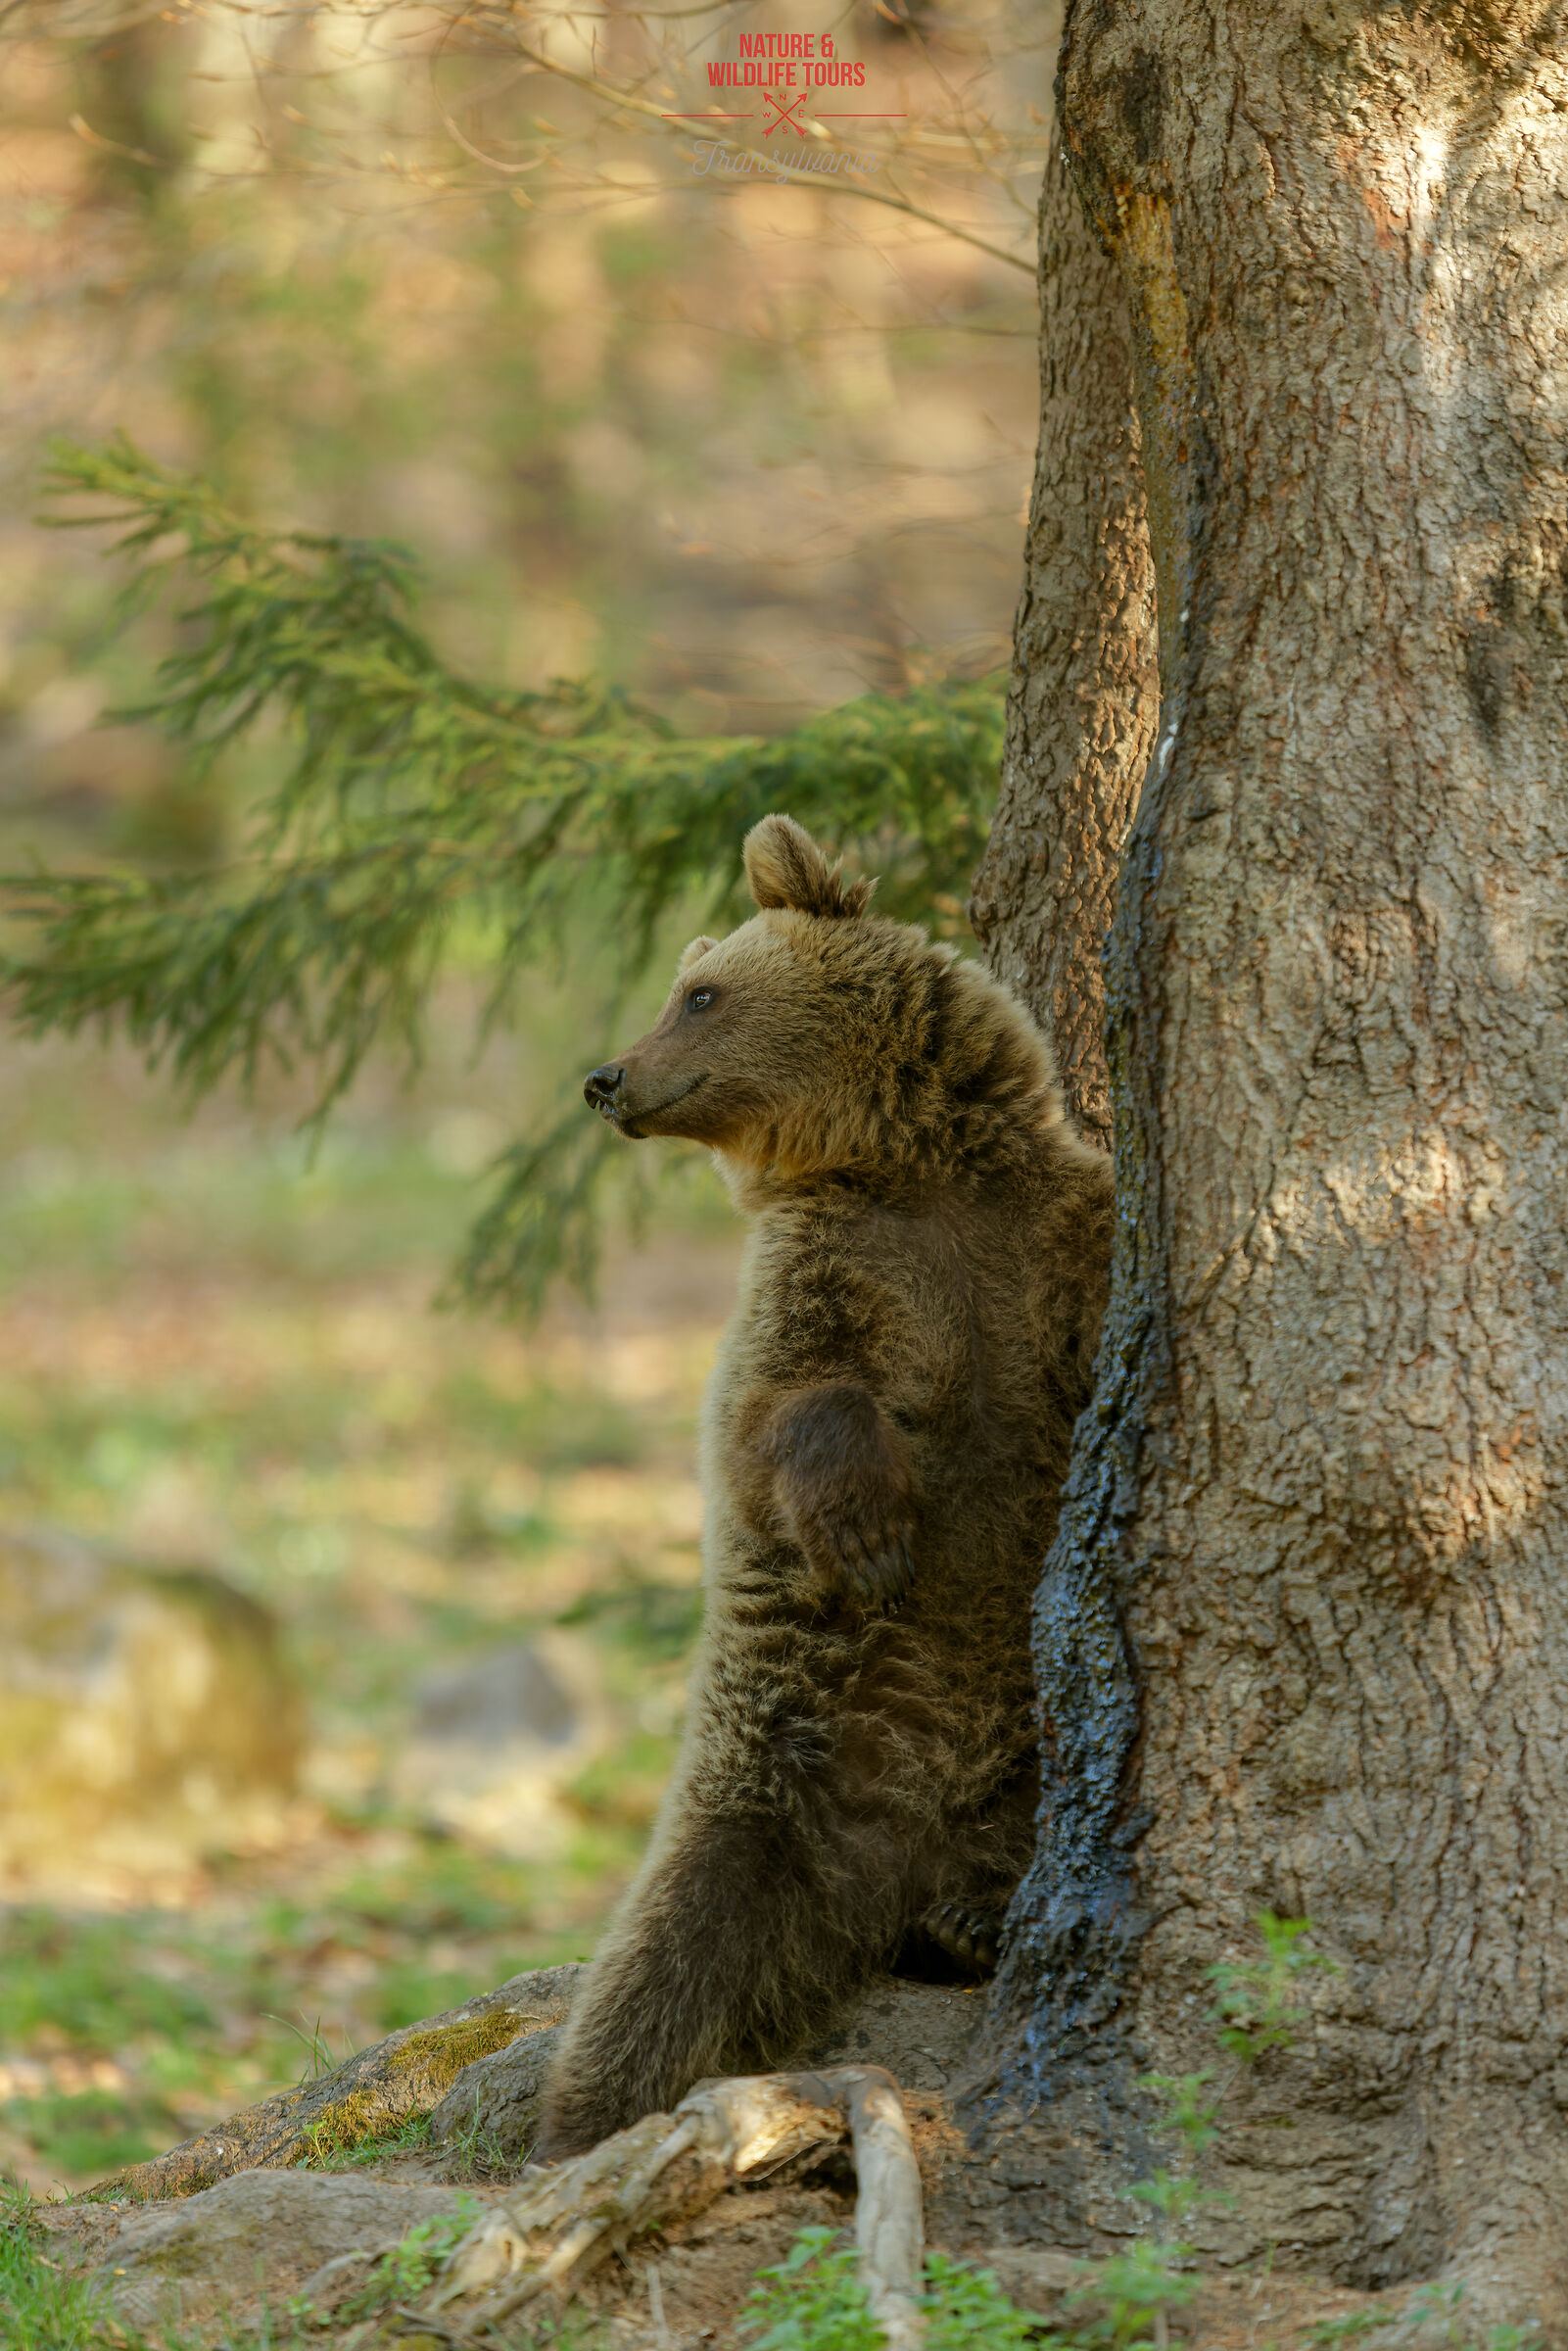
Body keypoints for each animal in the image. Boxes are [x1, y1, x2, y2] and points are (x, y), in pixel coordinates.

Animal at [539, 813, 1112, 2157]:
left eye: (699, 991)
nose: (605, 1078)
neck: (912, 1169)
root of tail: (889, 1866)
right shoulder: (824, 1282)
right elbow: (790, 1412)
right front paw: (869, 1536)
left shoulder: (1044, 1239)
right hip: (768, 1780)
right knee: (666, 1953)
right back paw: (576, 2120)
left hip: (1020, 1752)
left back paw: (965, 1925)